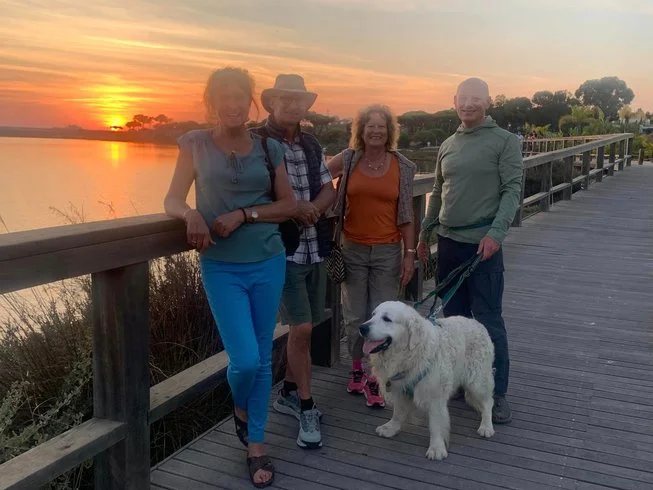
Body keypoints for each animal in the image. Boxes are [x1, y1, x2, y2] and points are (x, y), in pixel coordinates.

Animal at [359, 300, 495, 460]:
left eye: (387, 319)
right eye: (373, 315)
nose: (362, 327)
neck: (409, 354)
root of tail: (477, 323)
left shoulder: (435, 396)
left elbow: (435, 424)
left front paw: (436, 448)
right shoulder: (400, 389)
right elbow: (398, 412)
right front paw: (391, 428)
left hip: (478, 381)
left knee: (488, 402)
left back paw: (486, 426)